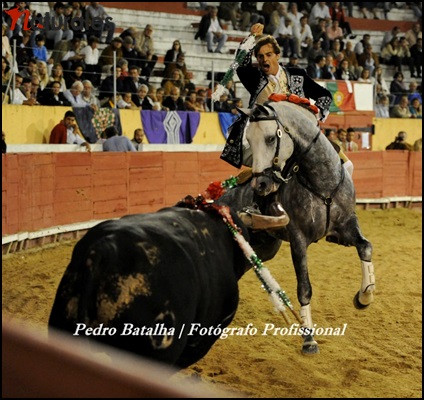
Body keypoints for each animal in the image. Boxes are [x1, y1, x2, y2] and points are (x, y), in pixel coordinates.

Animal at [217, 99, 376, 354]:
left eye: (270, 138)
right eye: (248, 138)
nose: (260, 184)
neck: (321, 181)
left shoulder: (347, 225)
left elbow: (366, 247)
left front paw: (364, 297)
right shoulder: (298, 239)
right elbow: (304, 287)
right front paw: (309, 339)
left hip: (264, 249)